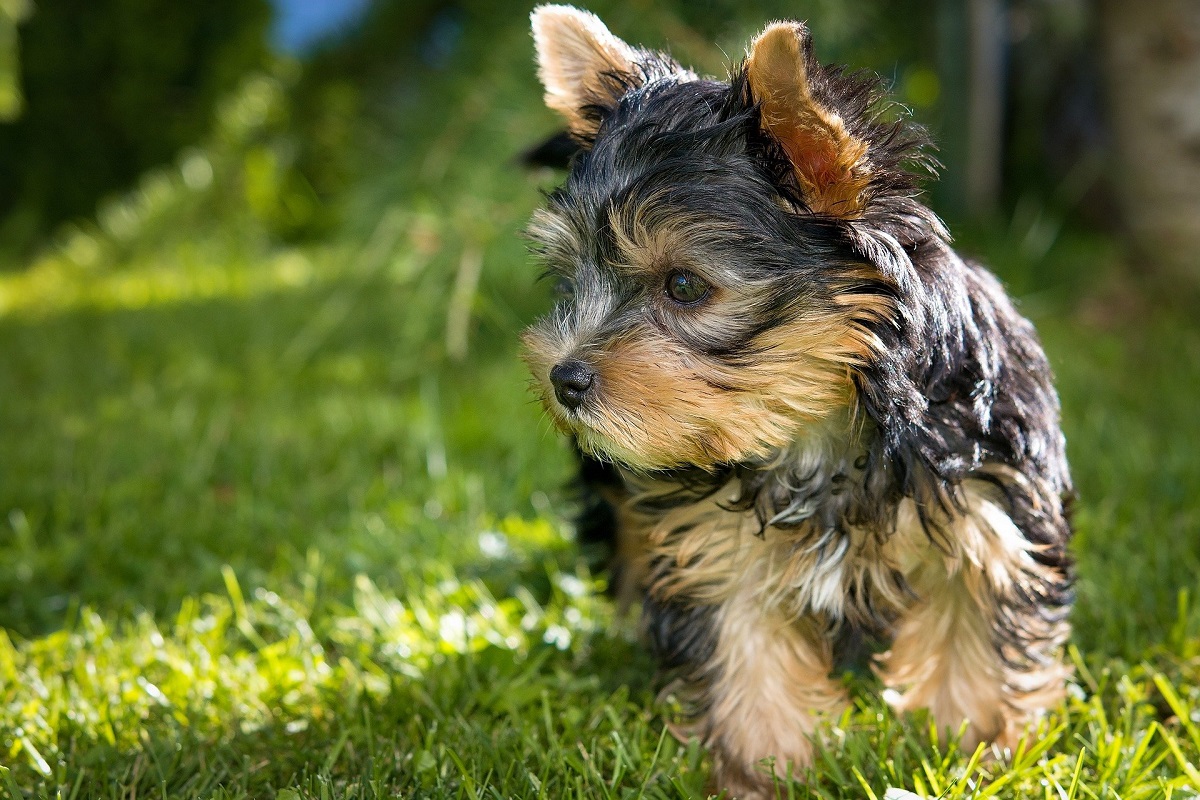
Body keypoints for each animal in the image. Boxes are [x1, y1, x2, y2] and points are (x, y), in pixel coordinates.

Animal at [520, 4, 1075, 796]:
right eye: (572, 277)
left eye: (683, 286)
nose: (564, 378)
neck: (818, 422)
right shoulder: (714, 548)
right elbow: (745, 658)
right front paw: (764, 768)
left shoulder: (989, 512)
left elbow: (976, 632)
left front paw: (972, 748)